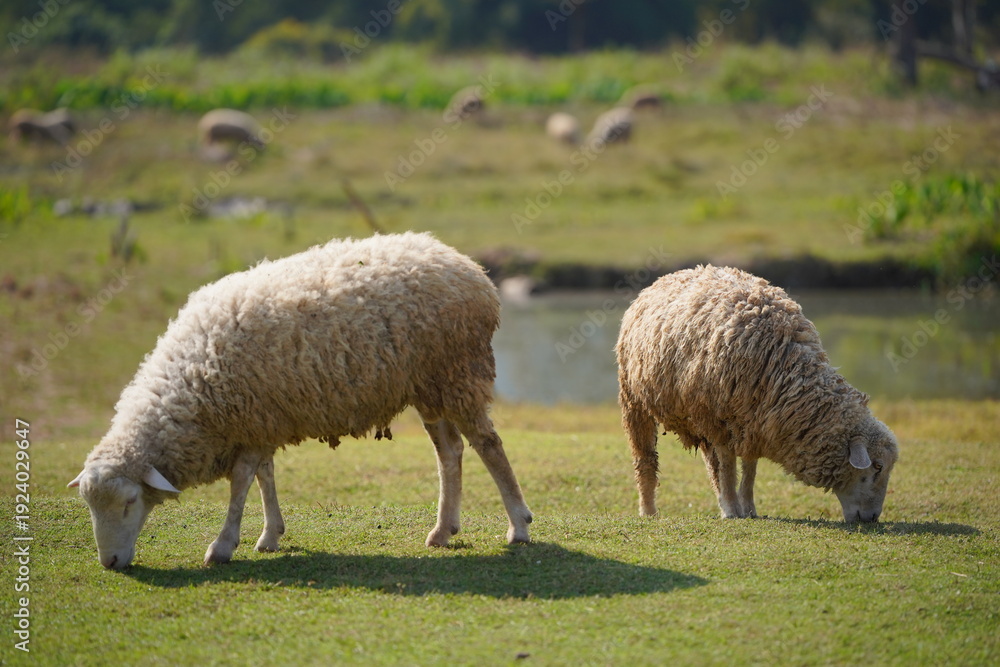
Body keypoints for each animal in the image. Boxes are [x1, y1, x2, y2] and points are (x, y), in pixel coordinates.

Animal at [69, 232, 533, 569]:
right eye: (90, 507)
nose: (109, 562)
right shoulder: (260, 419)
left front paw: (223, 545)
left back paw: (519, 526)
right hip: (428, 386)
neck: (192, 384)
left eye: (130, 503)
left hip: (458, 372)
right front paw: (270, 534)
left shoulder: (251, 418)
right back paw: (443, 530)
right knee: (450, 451)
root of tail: (471, 268)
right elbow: (264, 476)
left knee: (489, 446)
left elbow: (241, 483)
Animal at [615, 265, 898, 523]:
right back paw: (649, 510)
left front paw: (747, 508)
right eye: (877, 467)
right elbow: (729, 465)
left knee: (710, 463)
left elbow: (749, 468)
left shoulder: (755, 422)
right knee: (646, 461)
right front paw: (732, 509)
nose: (872, 518)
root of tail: (671, 275)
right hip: (635, 400)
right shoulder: (721, 421)